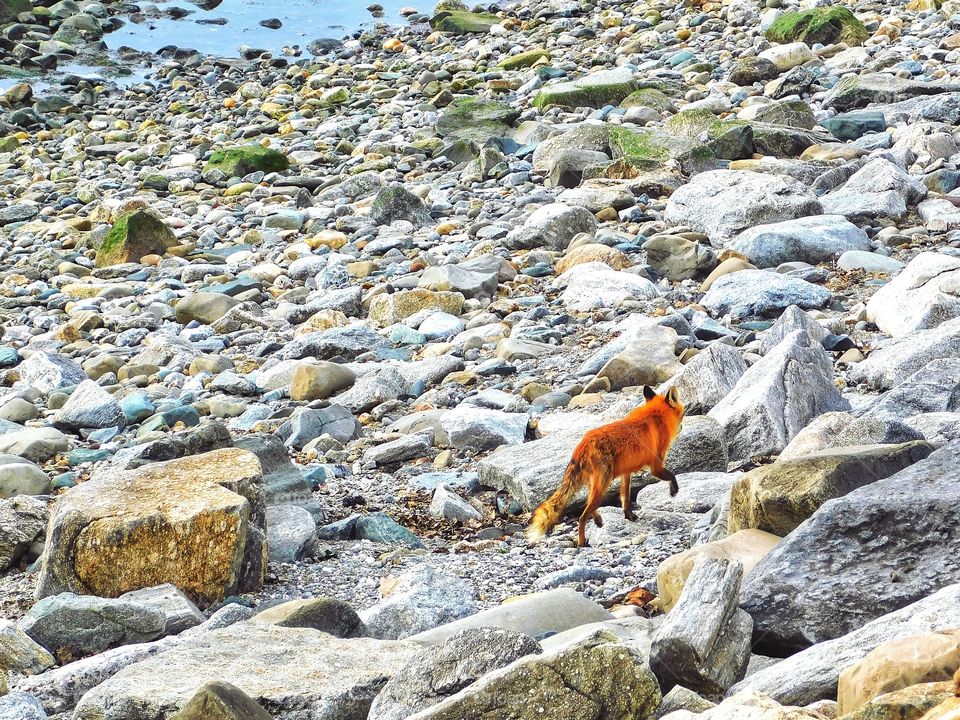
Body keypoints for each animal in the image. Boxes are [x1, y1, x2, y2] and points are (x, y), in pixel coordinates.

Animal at [526, 385, 685, 548]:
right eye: (683, 414)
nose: (682, 427)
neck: (655, 416)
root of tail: (582, 445)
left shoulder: (626, 473)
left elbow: (625, 498)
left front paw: (629, 516)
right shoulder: (656, 466)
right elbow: (672, 476)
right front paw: (674, 491)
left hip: (595, 484)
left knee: (586, 504)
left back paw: (597, 520)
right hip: (603, 484)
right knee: (582, 517)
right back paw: (582, 543)